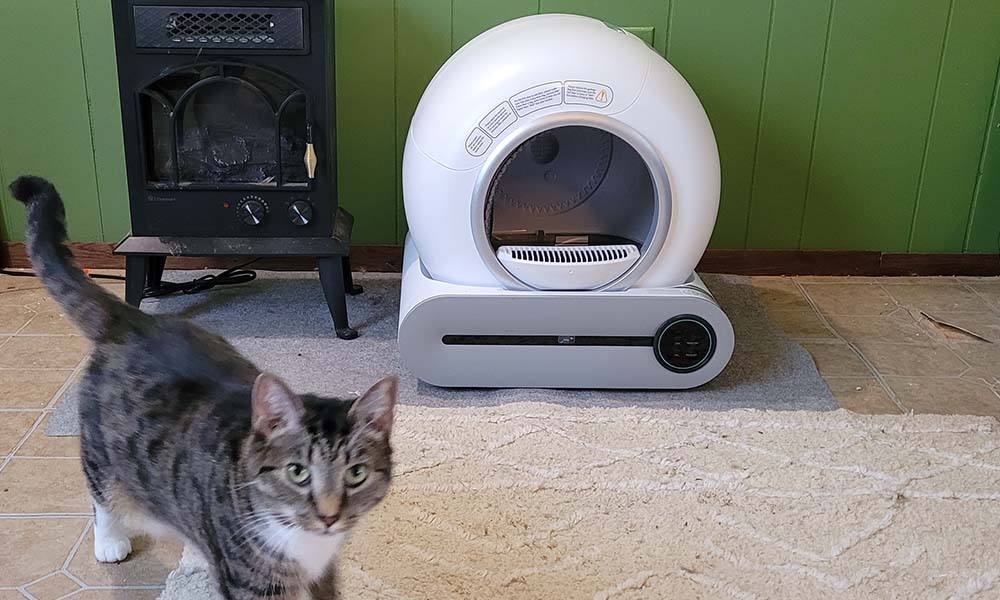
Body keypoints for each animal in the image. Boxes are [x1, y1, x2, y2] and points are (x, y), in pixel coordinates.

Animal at [9, 176, 398, 596]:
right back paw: (110, 540)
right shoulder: (250, 583)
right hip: (101, 447)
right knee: (101, 491)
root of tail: (133, 321)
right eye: (298, 472)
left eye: (356, 474)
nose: (329, 516)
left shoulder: (322, 570)